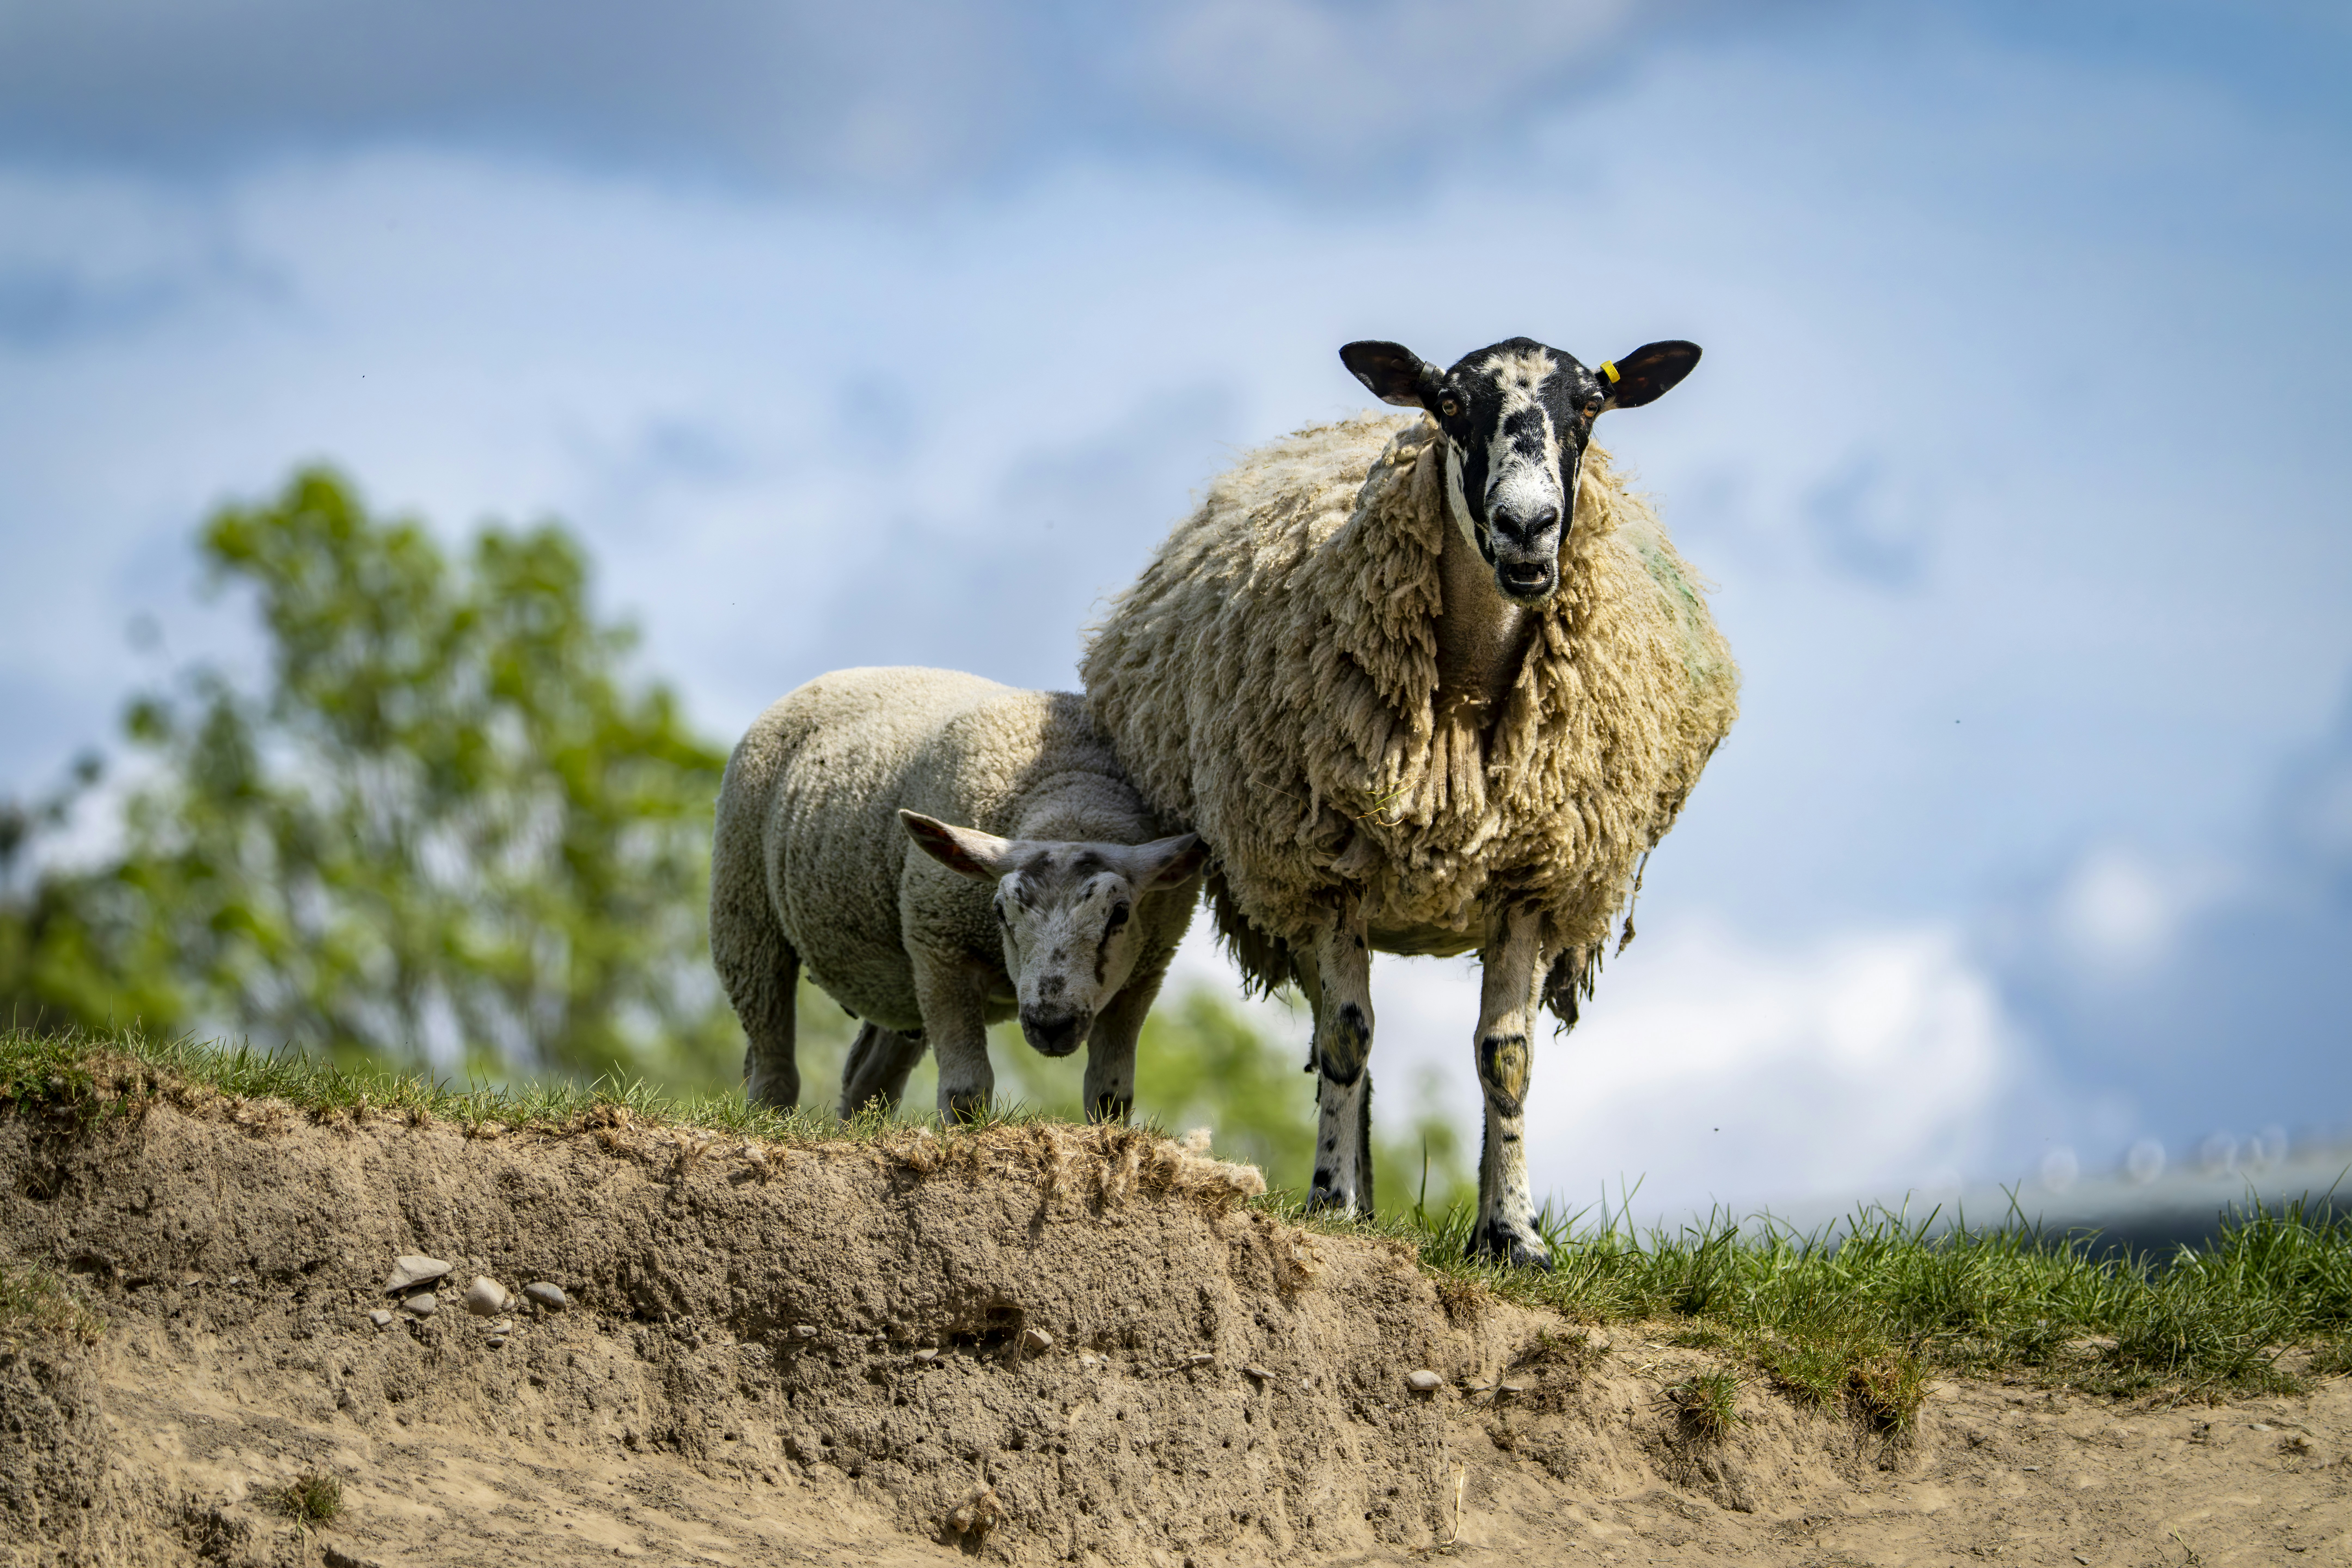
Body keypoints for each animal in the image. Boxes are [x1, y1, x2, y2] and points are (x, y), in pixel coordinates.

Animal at [711, 666, 1205, 1123]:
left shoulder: (1144, 974)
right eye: (1000, 911)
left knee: (869, 1080)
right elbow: (966, 1095)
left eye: (1120, 913)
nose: (1051, 1024)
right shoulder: (941, 953)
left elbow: (1109, 1097)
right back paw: (769, 1118)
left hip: (902, 987)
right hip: (745, 909)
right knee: (773, 1057)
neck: (1072, 803)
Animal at [1081, 336, 1738, 1266]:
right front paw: (1332, 1201)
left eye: (1588, 407)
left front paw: (1511, 1236)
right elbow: (1348, 1041)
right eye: (1450, 405)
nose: (1527, 527)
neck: (1464, 688)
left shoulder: (1529, 879)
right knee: (1339, 1036)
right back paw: (1355, 1198)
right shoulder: (1329, 873)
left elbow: (1507, 1057)